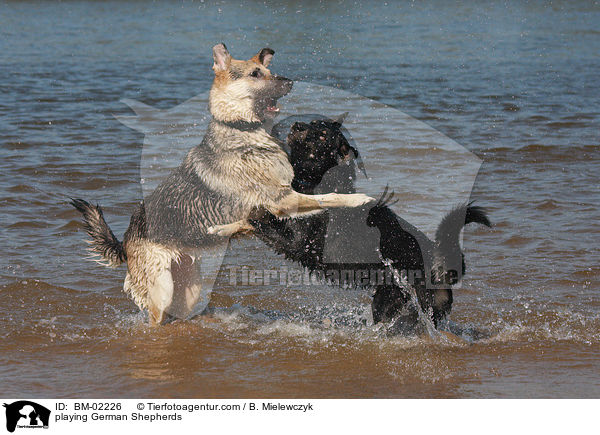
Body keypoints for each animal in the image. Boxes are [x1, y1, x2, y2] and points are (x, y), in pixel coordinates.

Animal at [251, 116, 490, 334]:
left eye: (322, 136)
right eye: (312, 122)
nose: (297, 125)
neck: (319, 183)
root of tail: (442, 264)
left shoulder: (299, 243)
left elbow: (265, 222)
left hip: (391, 301)